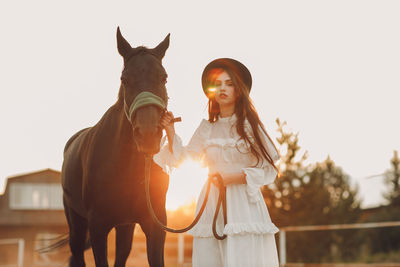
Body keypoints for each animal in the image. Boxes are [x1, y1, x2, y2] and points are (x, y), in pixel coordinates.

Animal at [61, 28, 171, 266]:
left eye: (164, 77)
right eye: (124, 79)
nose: (148, 134)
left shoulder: (155, 224)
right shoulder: (98, 226)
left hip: (125, 224)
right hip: (76, 220)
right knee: (77, 253)